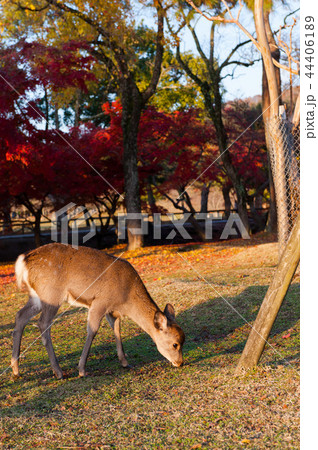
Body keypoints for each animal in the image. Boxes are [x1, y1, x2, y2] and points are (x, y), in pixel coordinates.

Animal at [11, 244, 184, 378]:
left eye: (184, 340)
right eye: (175, 344)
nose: (180, 363)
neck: (126, 300)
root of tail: (23, 261)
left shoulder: (112, 311)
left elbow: (117, 330)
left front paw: (125, 362)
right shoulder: (100, 302)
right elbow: (92, 331)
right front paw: (81, 370)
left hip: (36, 296)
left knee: (20, 315)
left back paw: (16, 369)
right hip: (51, 294)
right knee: (43, 323)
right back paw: (58, 372)